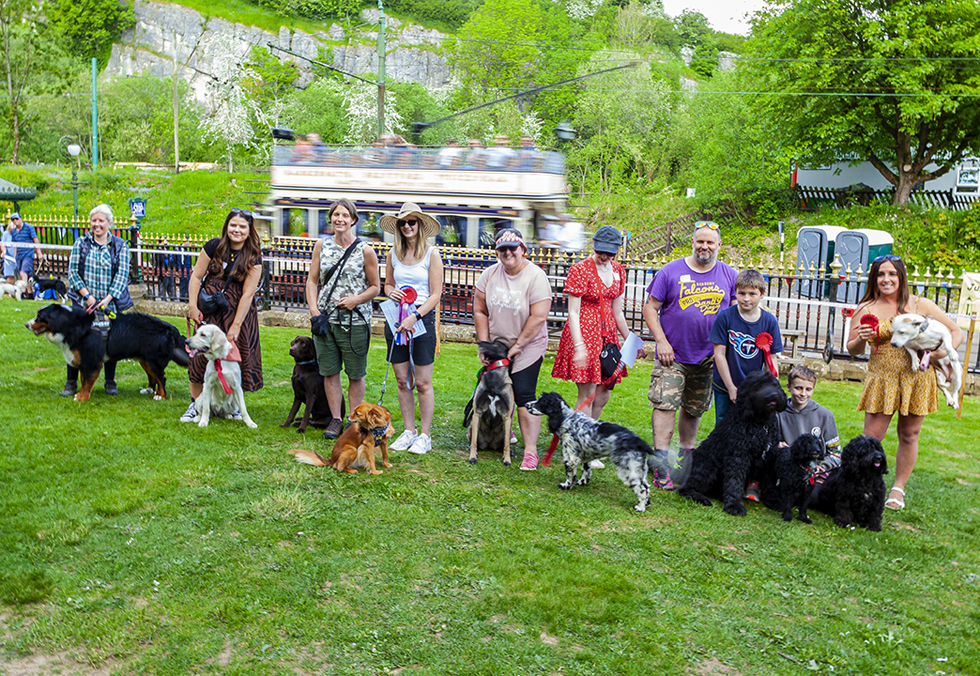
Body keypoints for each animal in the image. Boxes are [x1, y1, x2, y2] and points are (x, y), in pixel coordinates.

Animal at [25, 304, 189, 398]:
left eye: (39, 317)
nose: (26, 324)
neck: (74, 325)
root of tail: (170, 328)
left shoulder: (91, 361)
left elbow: (87, 382)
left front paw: (81, 397)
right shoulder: (83, 360)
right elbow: (83, 380)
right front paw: (81, 393)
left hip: (153, 360)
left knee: (161, 378)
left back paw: (160, 395)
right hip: (145, 360)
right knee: (152, 377)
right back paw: (149, 390)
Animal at [464, 340, 516, 468]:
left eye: (496, 343)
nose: (478, 341)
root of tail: (489, 443)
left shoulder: (507, 416)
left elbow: (506, 444)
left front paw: (507, 459)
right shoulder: (477, 413)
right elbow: (474, 443)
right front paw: (472, 457)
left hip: (506, 429)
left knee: (503, 444)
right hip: (472, 425)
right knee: (474, 441)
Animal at [524, 390, 656, 512]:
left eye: (540, 402)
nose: (525, 404)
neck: (567, 418)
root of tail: (640, 442)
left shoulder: (570, 457)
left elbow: (570, 475)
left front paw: (566, 485)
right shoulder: (586, 457)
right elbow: (586, 471)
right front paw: (582, 482)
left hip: (628, 470)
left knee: (642, 489)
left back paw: (640, 507)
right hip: (638, 469)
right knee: (646, 486)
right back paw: (646, 504)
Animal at [676, 368, 784, 516]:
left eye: (774, 384)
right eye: (759, 385)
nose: (773, 395)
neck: (761, 424)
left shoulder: (769, 458)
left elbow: (770, 484)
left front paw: (774, 502)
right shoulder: (738, 457)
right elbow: (734, 481)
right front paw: (734, 505)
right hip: (707, 465)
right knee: (685, 488)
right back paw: (702, 498)